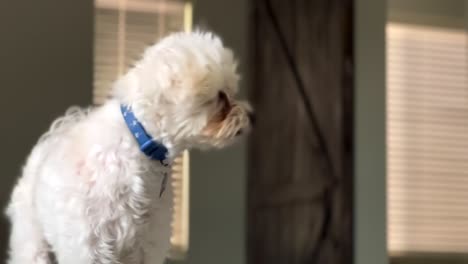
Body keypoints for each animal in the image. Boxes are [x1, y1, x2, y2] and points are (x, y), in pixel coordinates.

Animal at [5, 31, 254, 264]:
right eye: (220, 96)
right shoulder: (90, 244)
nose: (251, 116)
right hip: (32, 239)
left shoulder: (149, 242)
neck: (139, 143)